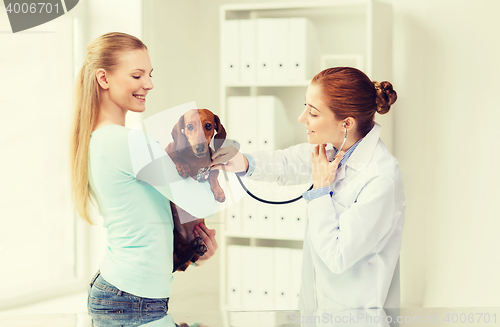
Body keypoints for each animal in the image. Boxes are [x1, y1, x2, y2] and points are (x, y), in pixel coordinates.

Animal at [164, 109, 227, 272]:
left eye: (208, 125)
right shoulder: (168, 152)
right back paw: (193, 247)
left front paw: (219, 192)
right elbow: (176, 157)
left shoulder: (212, 167)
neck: (194, 158)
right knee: (181, 250)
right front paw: (183, 167)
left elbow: (214, 174)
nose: (200, 148)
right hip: (174, 231)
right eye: (190, 126)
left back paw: (197, 248)